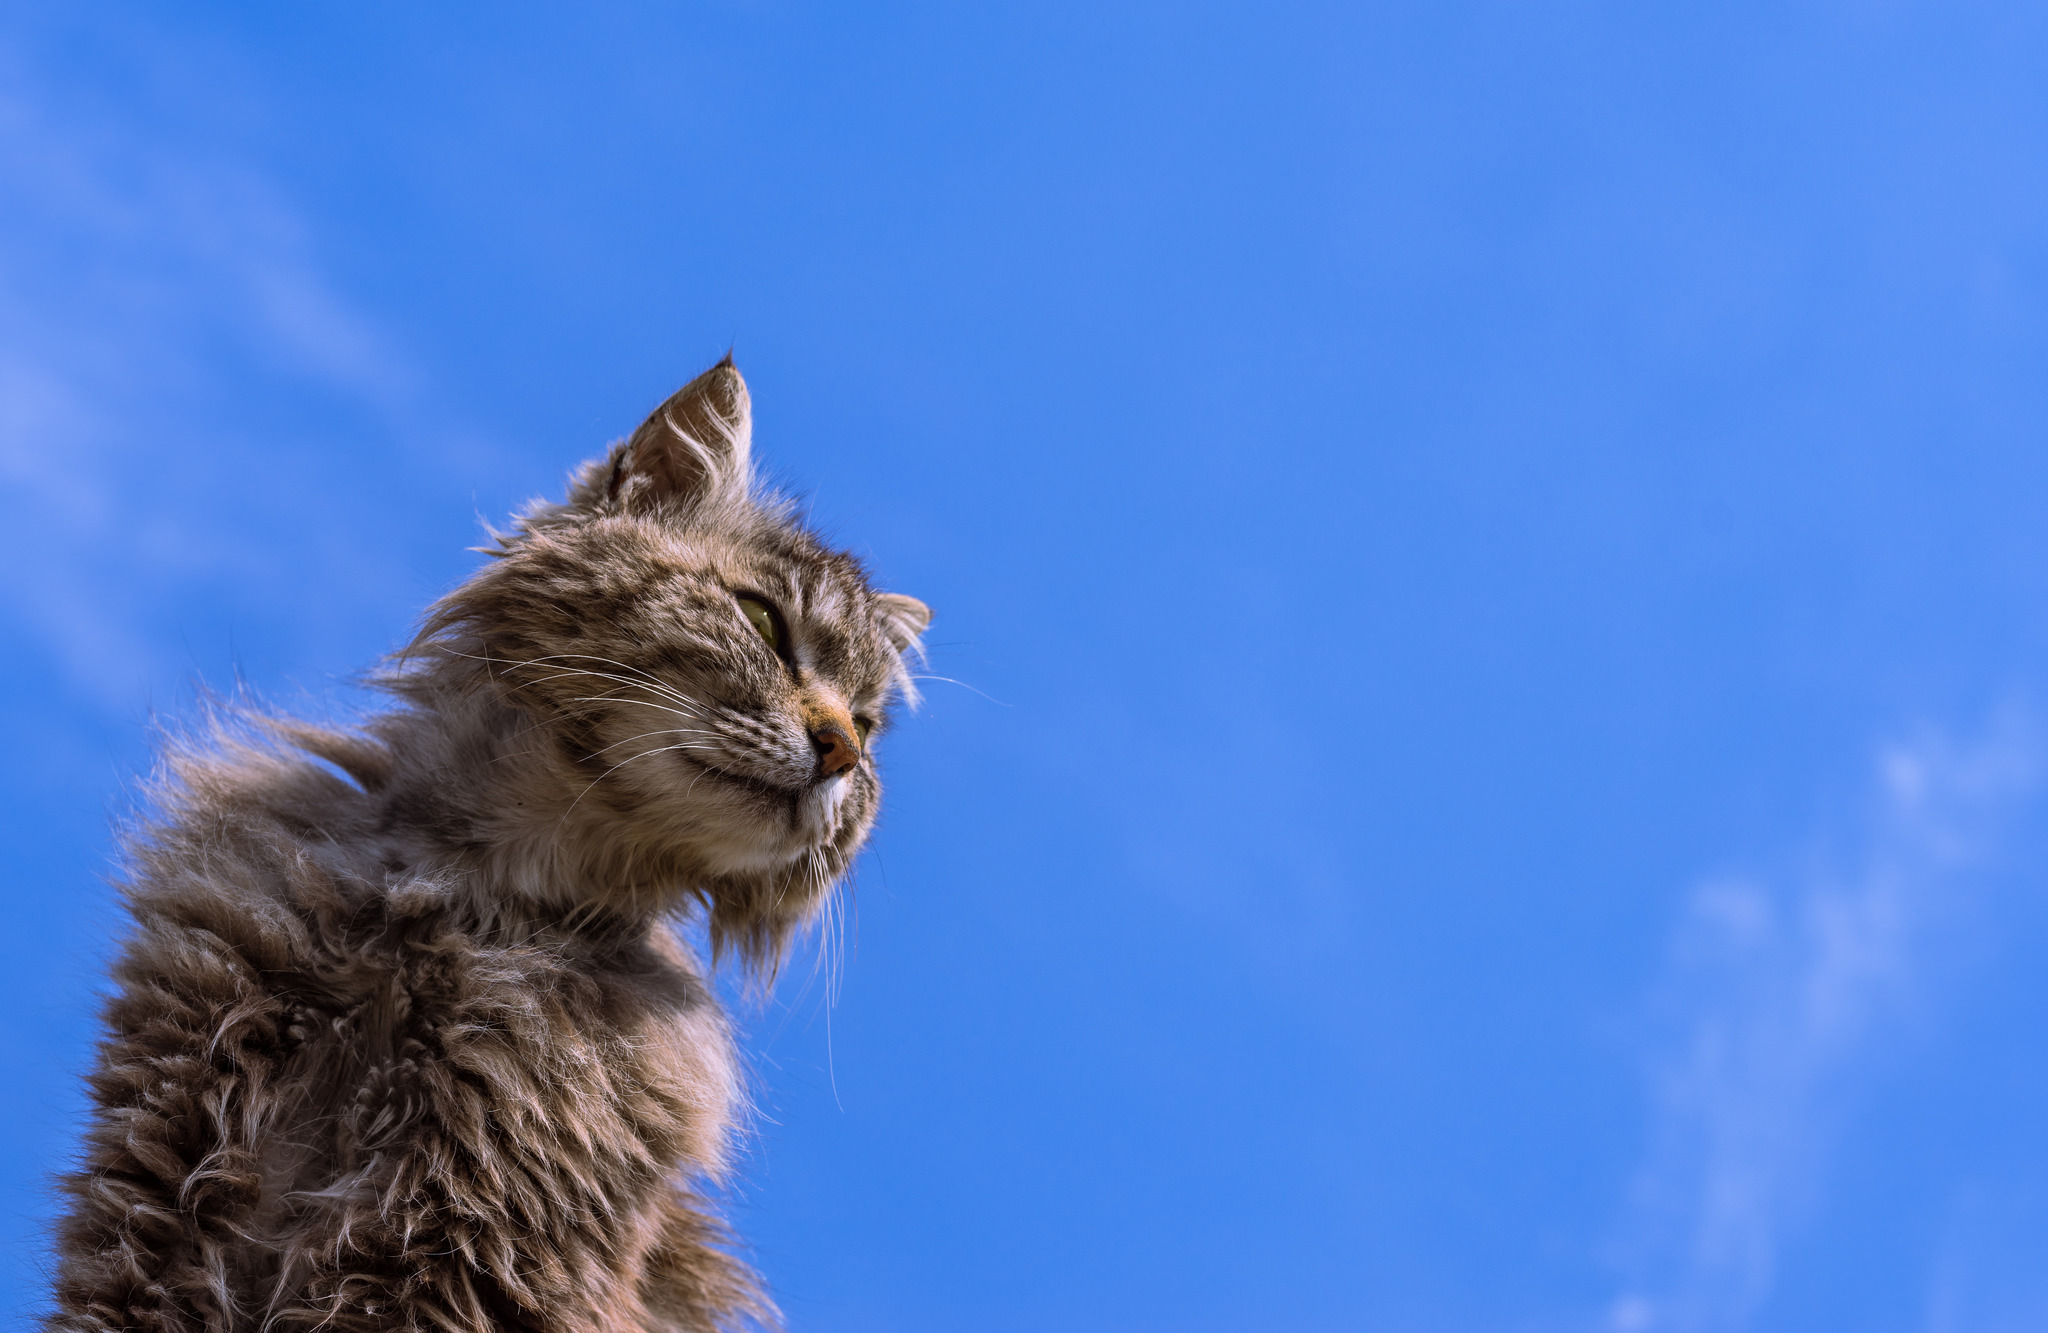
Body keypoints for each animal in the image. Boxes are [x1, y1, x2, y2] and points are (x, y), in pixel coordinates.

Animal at [49, 354, 929, 1333]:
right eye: (765, 623)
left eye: (869, 725)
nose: (841, 751)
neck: (472, 895)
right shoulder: (160, 1196)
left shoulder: (460, 1253)